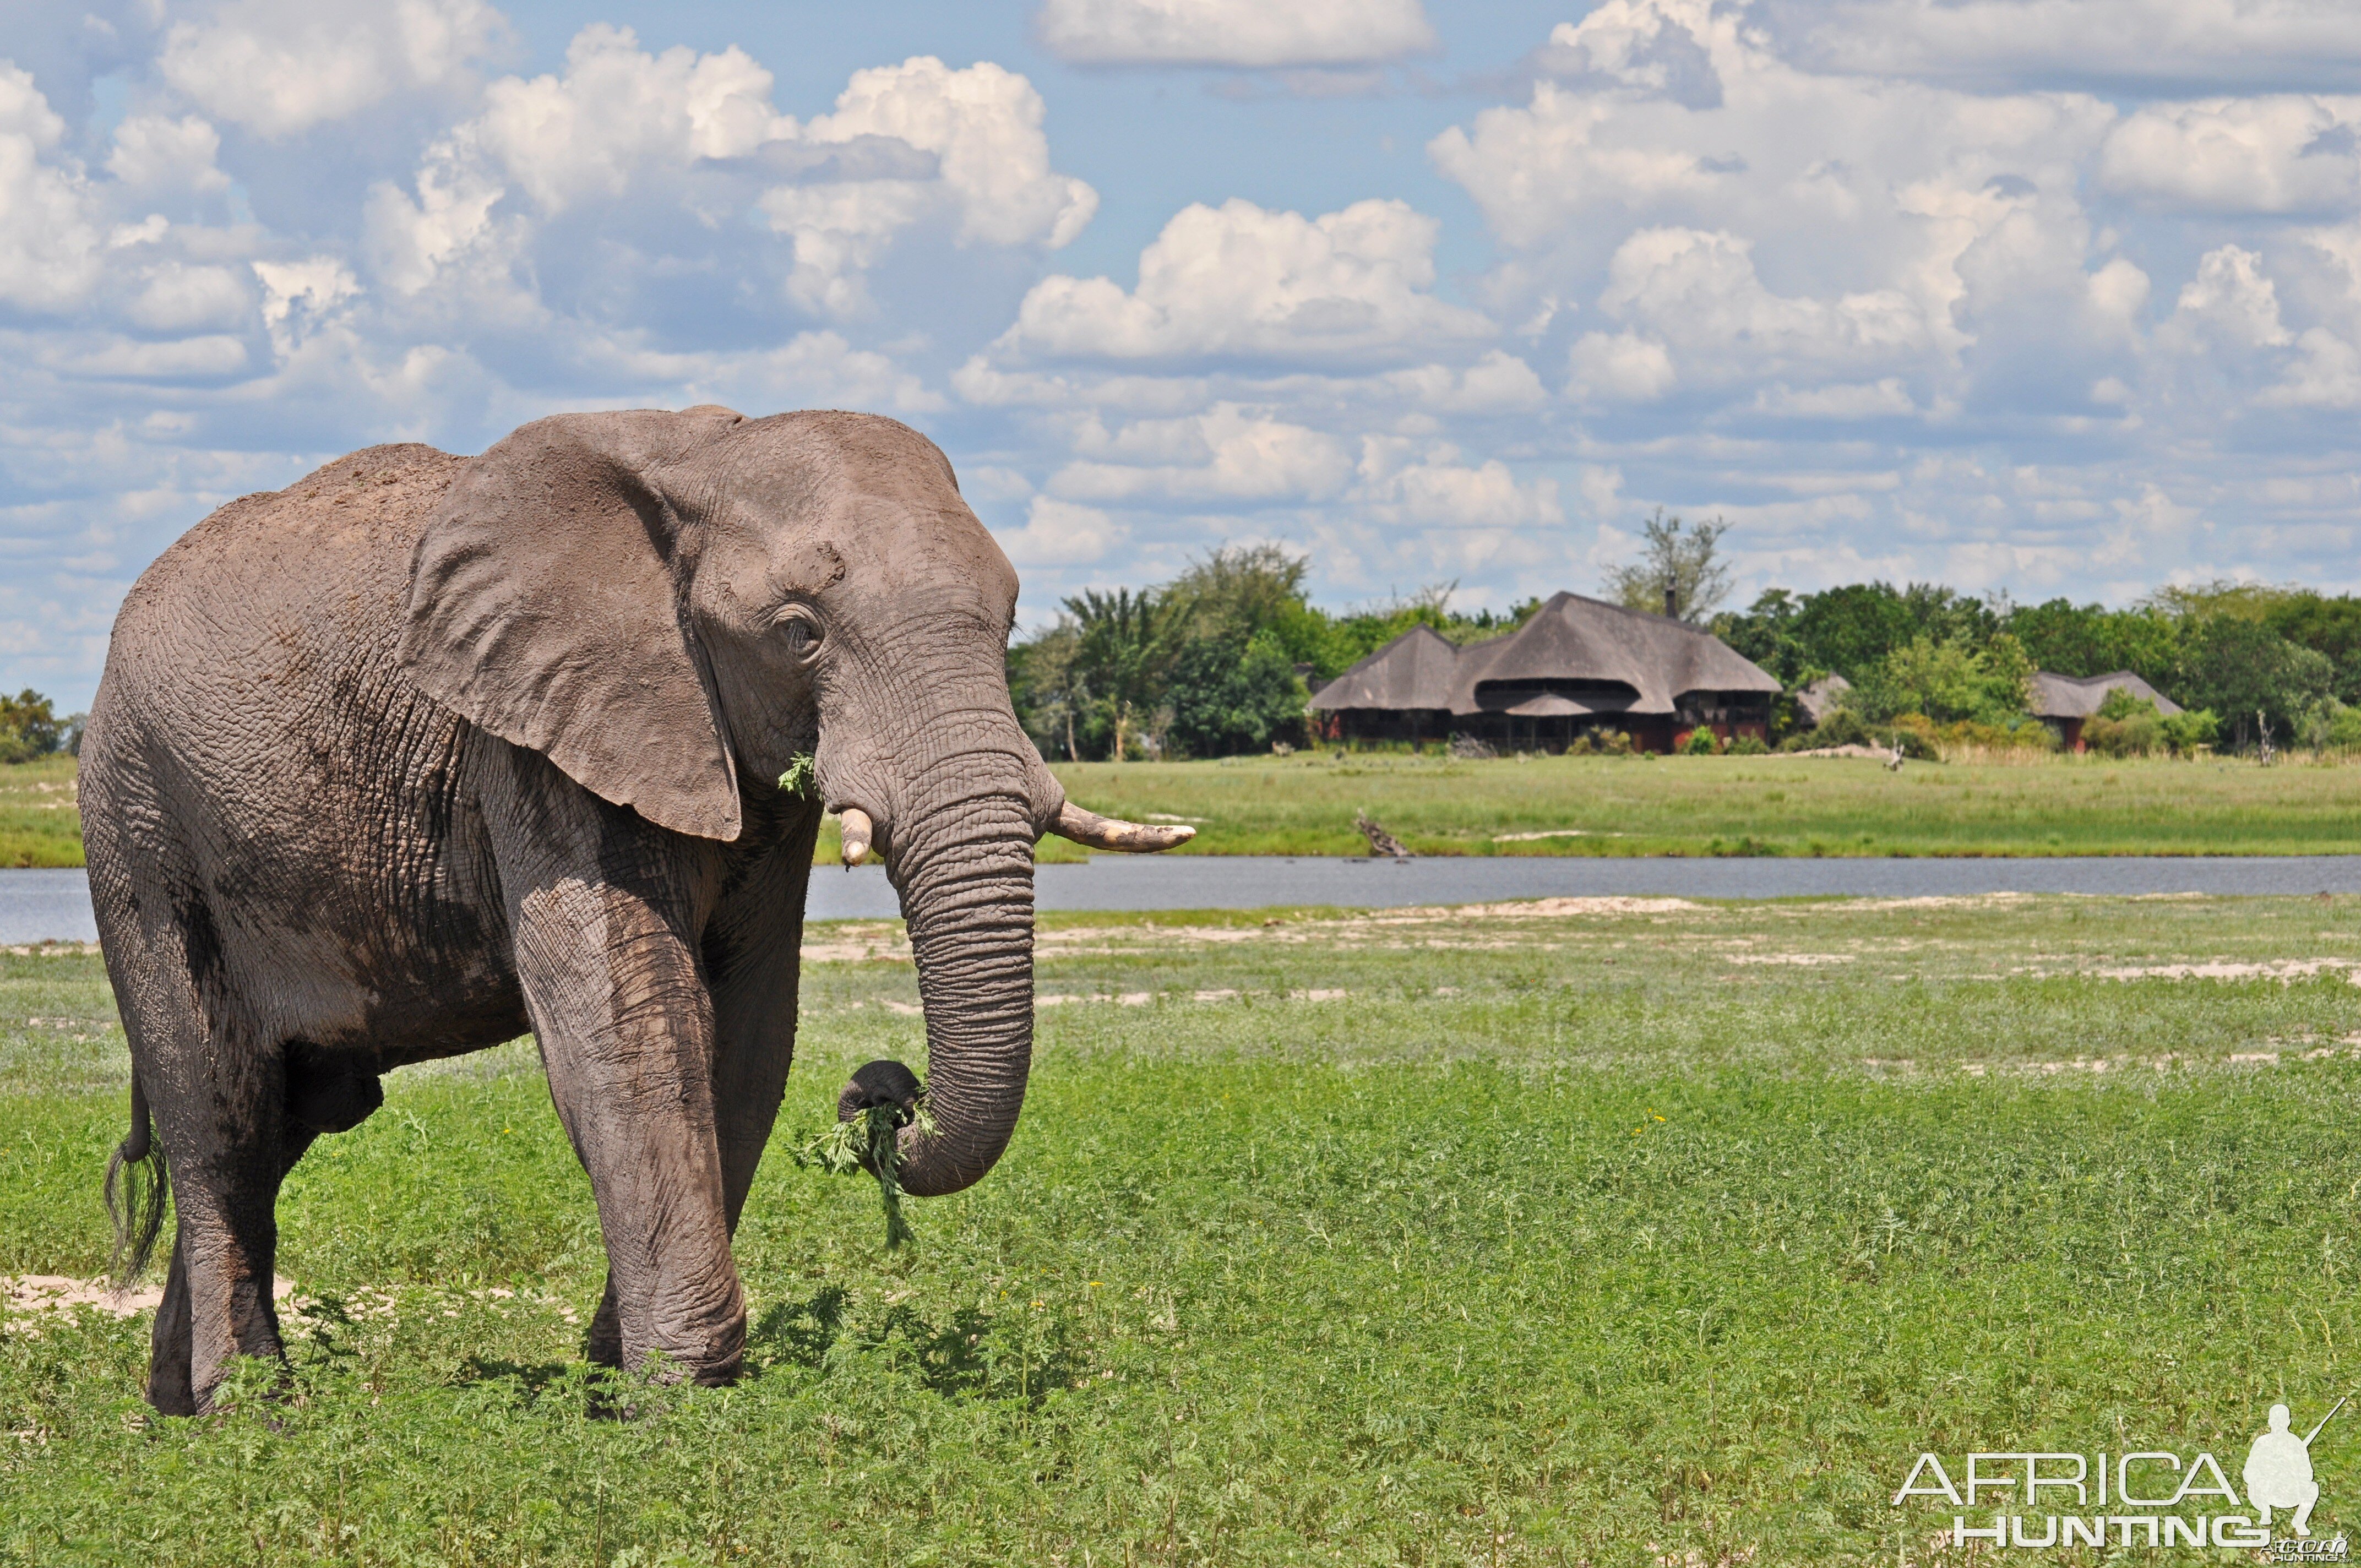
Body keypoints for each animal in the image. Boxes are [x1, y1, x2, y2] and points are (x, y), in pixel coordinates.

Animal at [80, 406, 1190, 1417]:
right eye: (799, 633)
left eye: (1009, 622)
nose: (883, 1094)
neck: (704, 455)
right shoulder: (538, 736)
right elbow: (632, 1022)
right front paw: (677, 1398)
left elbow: (747, 1032)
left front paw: (613, 1378)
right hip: (137, 819)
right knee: (220, 1113)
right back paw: (251, 1413)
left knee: (289, 1118)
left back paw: (175, 1403)